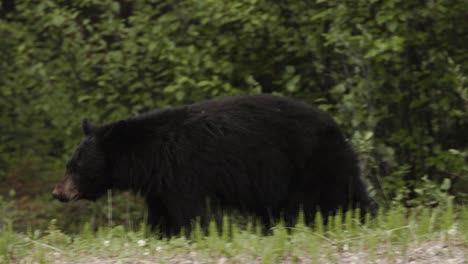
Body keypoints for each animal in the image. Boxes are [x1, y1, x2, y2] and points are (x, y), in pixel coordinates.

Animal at [52, 95, 372, 235]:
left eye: (76, 167)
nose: (57, 193)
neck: (150, 157)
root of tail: (334, 125)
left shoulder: (184, 173)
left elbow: (189, 213)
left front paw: (195, 233)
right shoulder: (160, 184)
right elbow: (160, 215)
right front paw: (158, 235)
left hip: (310, 162)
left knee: (338, 194)